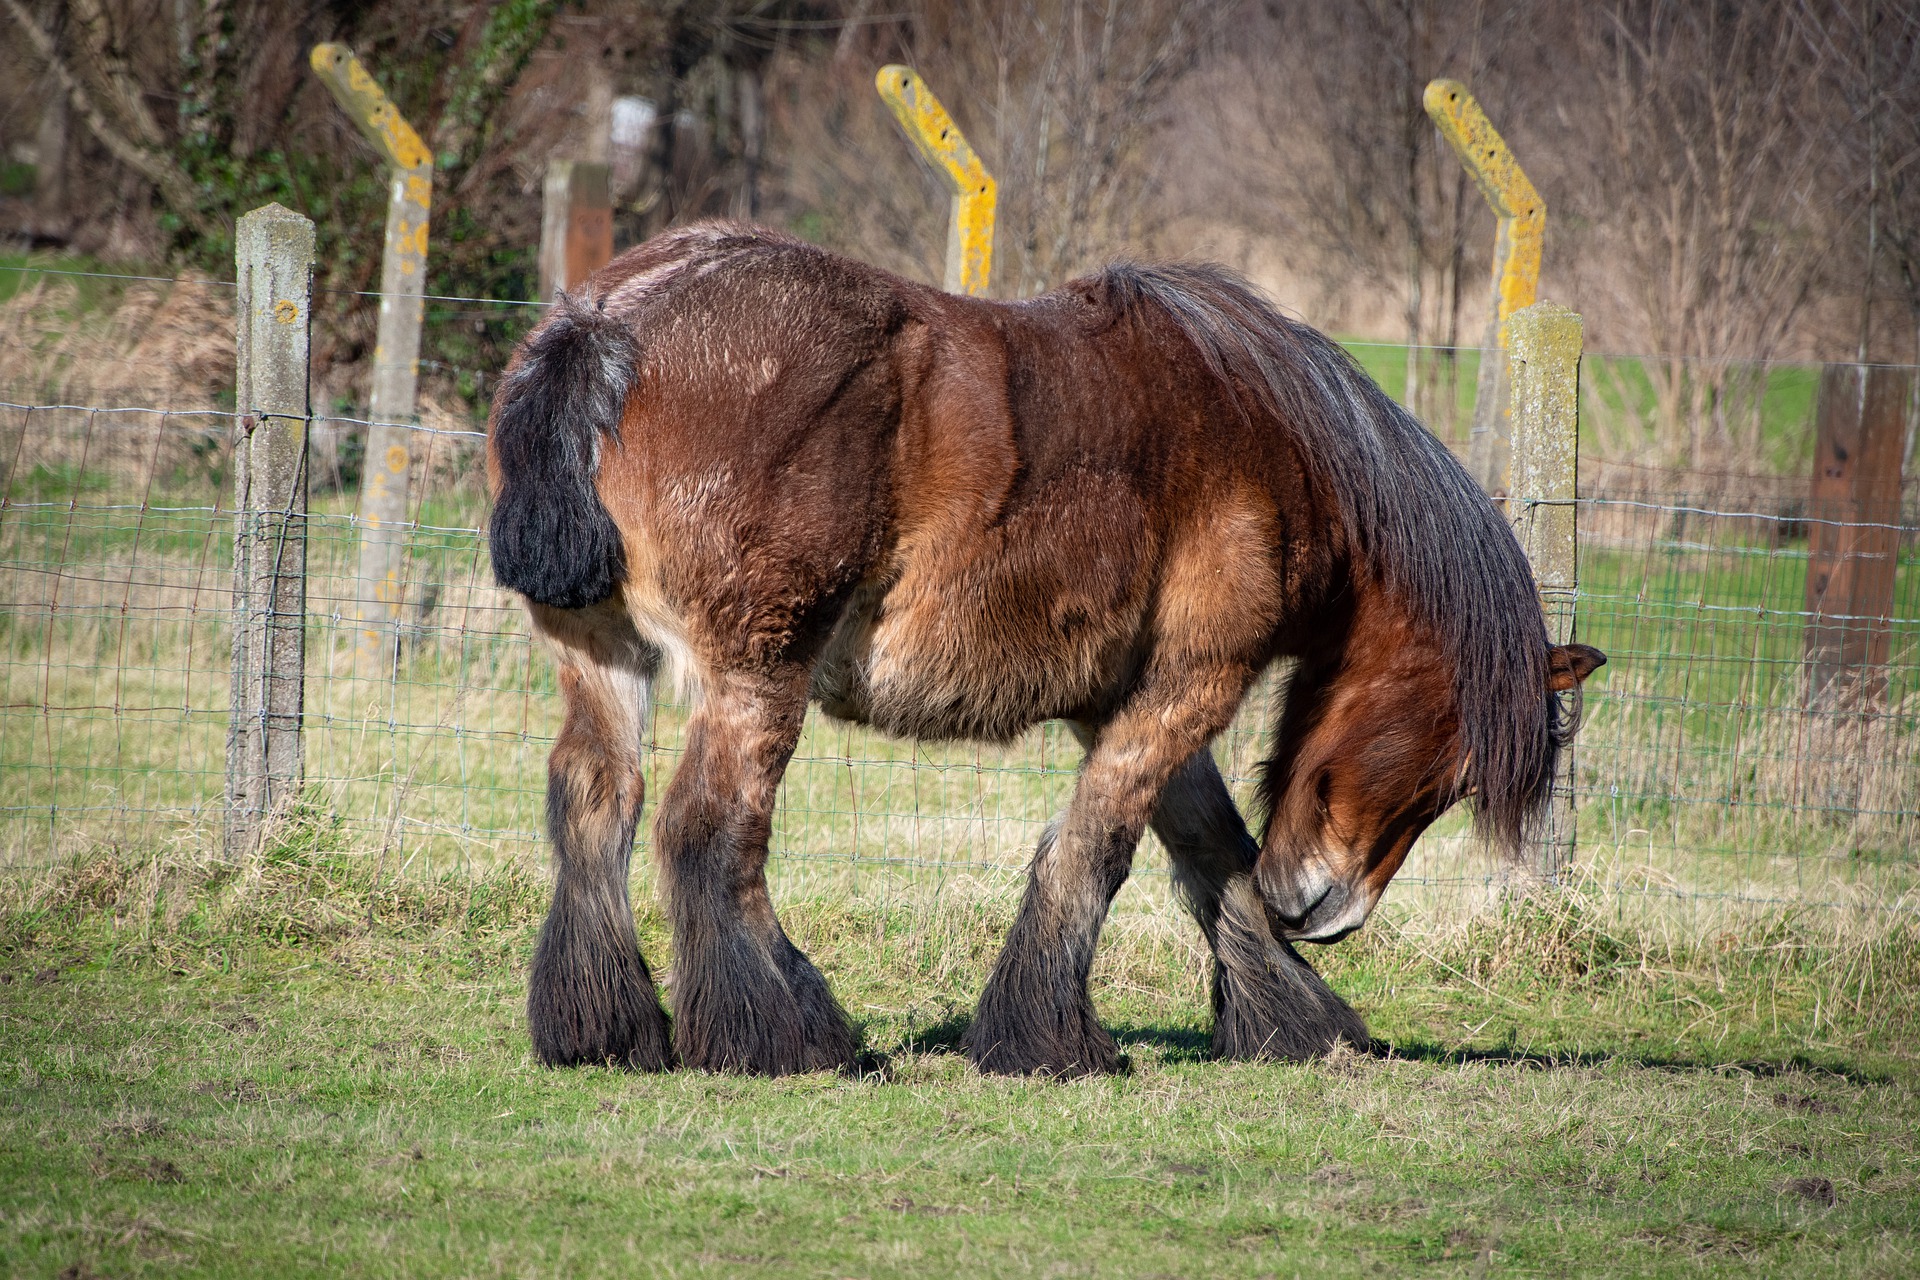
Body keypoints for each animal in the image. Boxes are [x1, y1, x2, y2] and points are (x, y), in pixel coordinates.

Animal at [483, 222, 1605, 1082]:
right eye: (1452, 764)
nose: (1328, 913)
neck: (1267, 438)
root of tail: (606, 319)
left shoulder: (1140, 697)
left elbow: (1214, 853)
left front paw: (1294, 1020)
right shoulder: (1194, 682)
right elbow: (1098, 851)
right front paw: (1051, 1041)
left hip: (603, 656)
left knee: (596, 799)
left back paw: (607, 1029)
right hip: (760, 672)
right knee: (709, 832)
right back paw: (790, 1036)